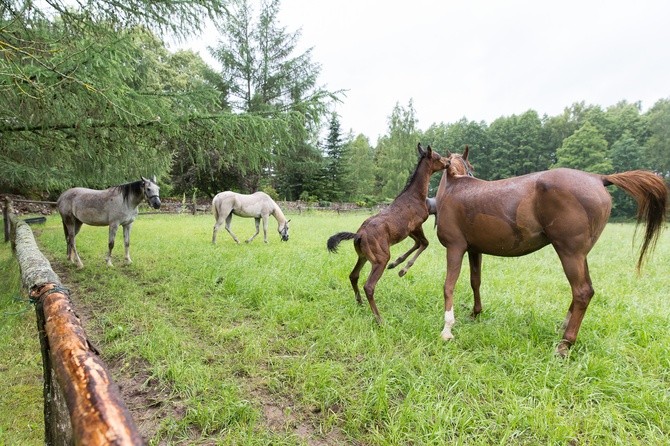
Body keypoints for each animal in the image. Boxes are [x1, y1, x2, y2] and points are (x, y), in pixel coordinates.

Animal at [326, 145, 448, 322]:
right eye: (438, 157)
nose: (448, 162)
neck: (415, 196)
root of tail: (358, 235)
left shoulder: (407, 231)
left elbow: (418, 243)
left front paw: (397, 264)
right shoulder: (416, 226)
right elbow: (424, 243)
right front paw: (402, 270)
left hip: (363, 256)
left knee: (353, 275)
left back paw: (360, 302)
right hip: (380, 258)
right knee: (369, 286)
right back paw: (379, 319)